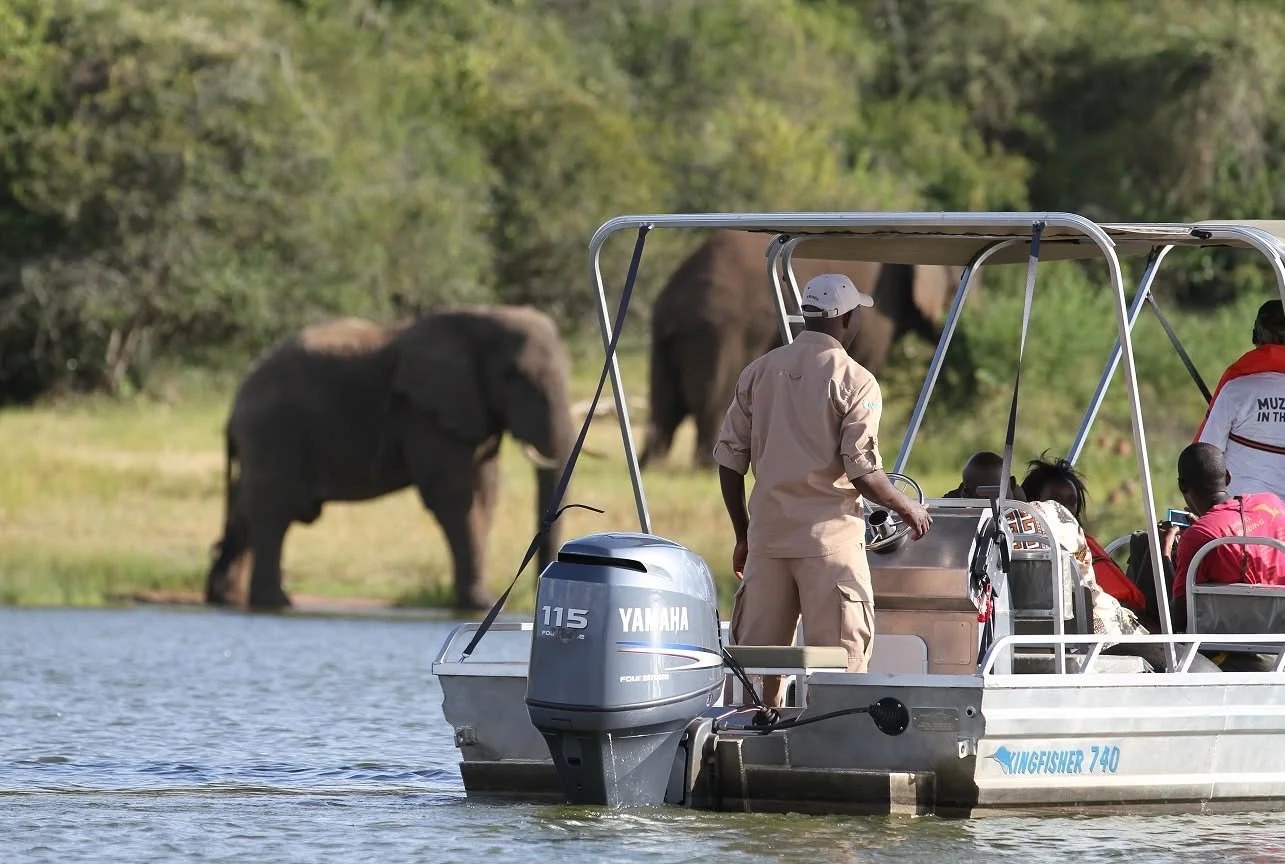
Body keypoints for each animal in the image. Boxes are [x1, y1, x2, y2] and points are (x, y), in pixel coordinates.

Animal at [204, 305, 575, 612]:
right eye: (515, 376)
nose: (539, 591)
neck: (480, 318)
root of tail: (234, 406)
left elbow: (484, 494)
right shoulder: (425, 412)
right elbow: (456, 497)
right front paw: (478, 604)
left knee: (247, 510)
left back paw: (225, 598)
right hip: (271, 432)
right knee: (273, 512)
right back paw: (275, 602)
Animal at [639, 229, 976, 470]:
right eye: (955, 288)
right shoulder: (880, 314)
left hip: (666, 333)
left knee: (664, 407)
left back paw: (652, 466)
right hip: (718, 330)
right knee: (713, 397)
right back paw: (707, 467)